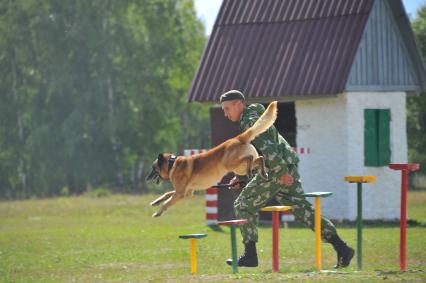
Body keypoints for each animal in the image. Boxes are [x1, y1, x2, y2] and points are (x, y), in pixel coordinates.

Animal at [146, 101, 278, 217]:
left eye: (153, 168)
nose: (147, 178)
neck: (172, 164)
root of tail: (238, 138)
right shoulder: (186, 192)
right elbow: (167, 193)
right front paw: (156, 201)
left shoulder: (181, 193)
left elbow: (166, 203)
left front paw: (157, 212)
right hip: (239, 168)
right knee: (260, 158)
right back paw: (263, 172)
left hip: (231, 164)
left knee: (249, 158)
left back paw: (251, 171)